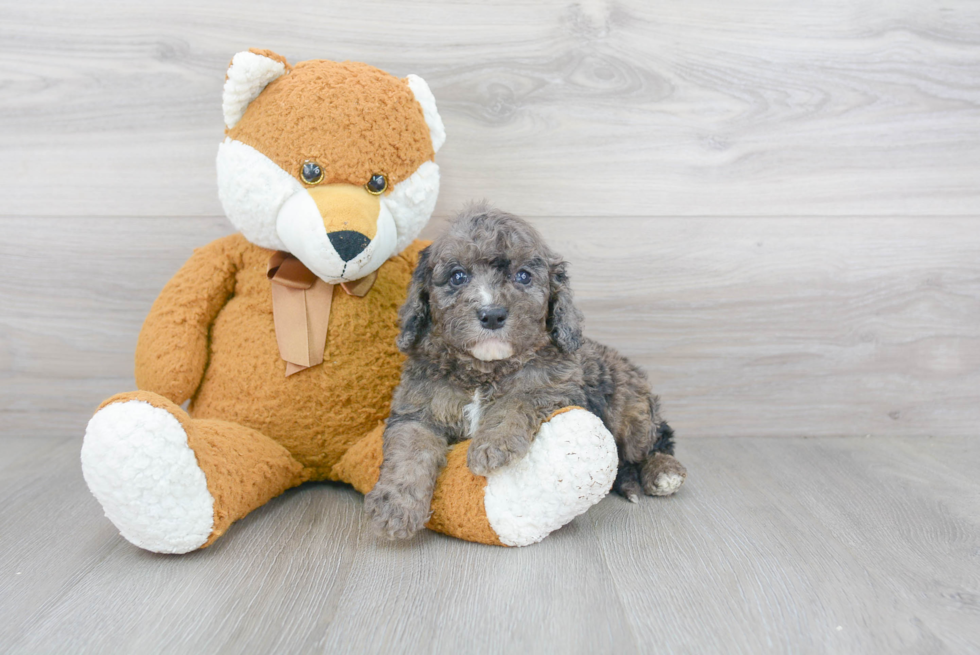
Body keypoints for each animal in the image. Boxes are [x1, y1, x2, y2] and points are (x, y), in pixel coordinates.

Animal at [364, 204, 684, 540]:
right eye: (457, 276)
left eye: (523, 276)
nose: (492, 315)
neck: (483, 370)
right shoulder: (417, 411)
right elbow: (409, 450)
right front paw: (394, 508)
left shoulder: (554, 388)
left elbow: (517, 400)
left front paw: (492, 446)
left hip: (630, 408)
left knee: (657, 439)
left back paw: (663, 472)